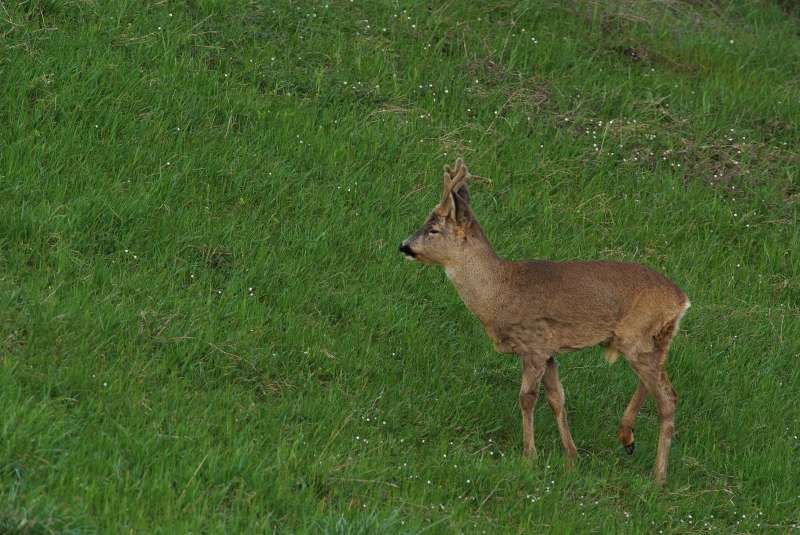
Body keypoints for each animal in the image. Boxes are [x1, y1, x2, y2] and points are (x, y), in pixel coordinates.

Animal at [400, 157, 688, 484]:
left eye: (434, 229)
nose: (404, 246)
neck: (499, 291)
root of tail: (682, 300)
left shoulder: (534, 343)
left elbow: (527, 397)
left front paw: (529, 456)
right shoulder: (550, 349)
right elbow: (557, 398)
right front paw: (571, 458)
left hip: (636, 337)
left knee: (667, 398)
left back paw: (658, 476)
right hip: (650, 340)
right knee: (657, 384)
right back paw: (627, 437)